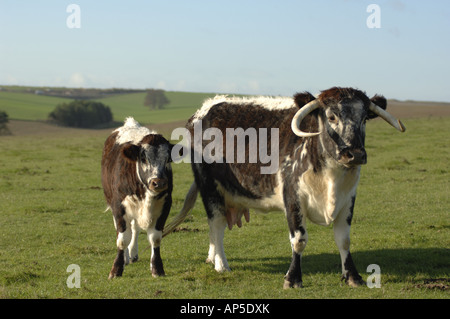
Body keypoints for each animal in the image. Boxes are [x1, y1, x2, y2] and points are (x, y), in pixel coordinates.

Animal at [101, 117, 173, 280]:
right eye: (143, 158)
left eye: (167, 159)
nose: (158, 182)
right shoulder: (119, 207)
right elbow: (122, 239)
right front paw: (116, 269)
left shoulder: (164, 205)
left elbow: (155, 238)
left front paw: (157, 268)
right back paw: (126, 258)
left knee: (135, 228)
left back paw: (133, 254)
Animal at [177, 86, 408, 288]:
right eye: (332, 116)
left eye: (364, 118)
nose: (356, 154)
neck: (329, 177)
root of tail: (203, 110)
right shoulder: (292, 197)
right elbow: (299, 240)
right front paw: (293, 278)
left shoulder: (348, 199)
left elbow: (344, 240)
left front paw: (352, 276)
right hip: (210, 189)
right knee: (216, 224)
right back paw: (221, 264)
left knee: (216, 227)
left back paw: (211, 257)